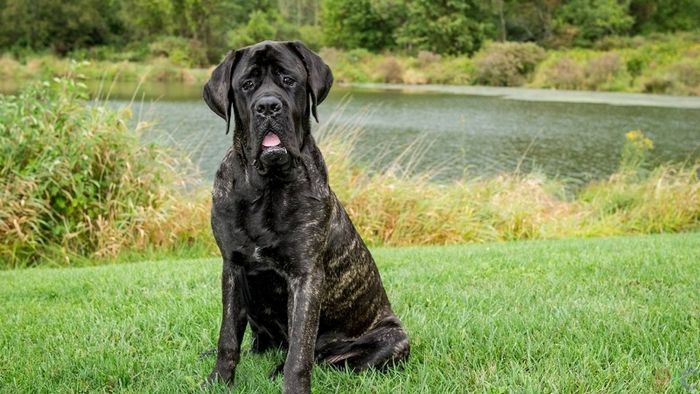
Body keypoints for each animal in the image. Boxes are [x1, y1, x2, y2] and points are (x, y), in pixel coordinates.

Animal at [200, 41, 410, 392]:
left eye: (289, 80)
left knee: (326, 357)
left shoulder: (306, 276)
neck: (267, 187)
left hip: (394, 338)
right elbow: (227, 336)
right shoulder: (233, 267)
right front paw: (218, 381)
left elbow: (300, 349)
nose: (268, 106)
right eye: (247, 84)